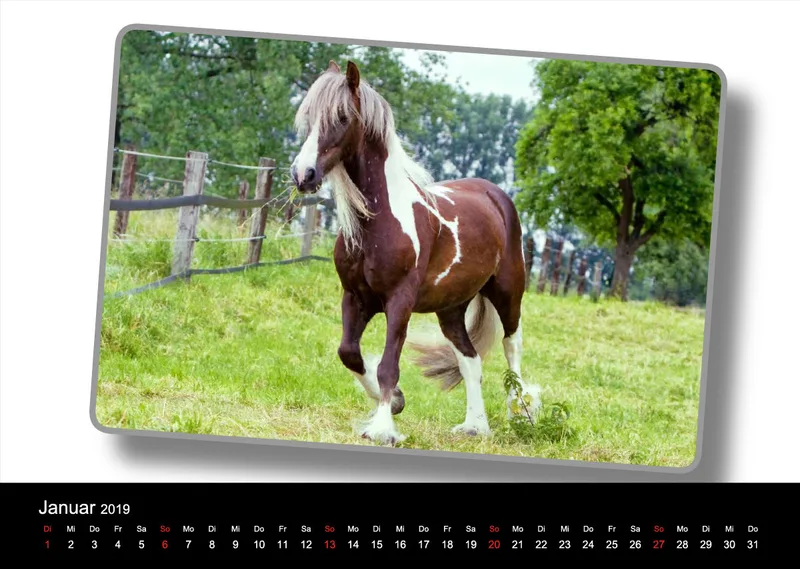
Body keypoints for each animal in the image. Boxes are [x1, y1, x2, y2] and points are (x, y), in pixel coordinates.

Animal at [290, 60, 542, 446]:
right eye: (309, 116)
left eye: (342, 117)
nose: (303, 174)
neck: (379, 222)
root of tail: (496, 196)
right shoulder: (355, 297)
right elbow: (349, 353)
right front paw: (395, 402)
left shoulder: (400, 302)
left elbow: (387, 365)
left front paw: (382, 429)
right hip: (451, 308)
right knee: (470, 360)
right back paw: (474, 426)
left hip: (508, 292)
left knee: (512, 347)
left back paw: (522, 415)